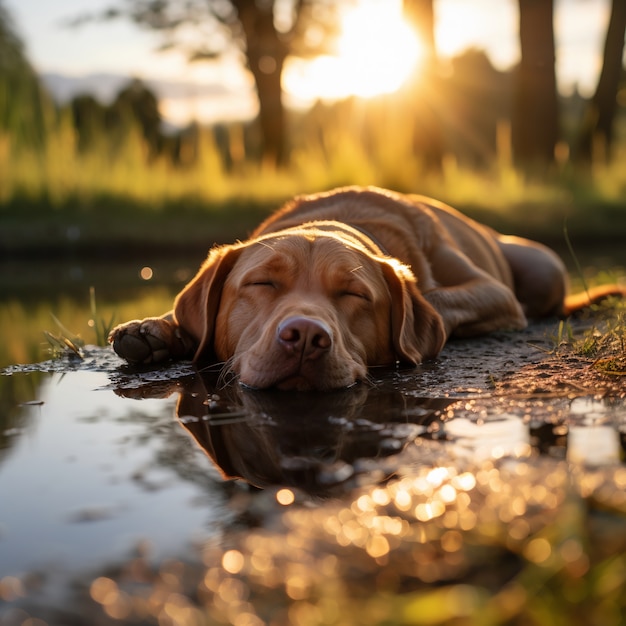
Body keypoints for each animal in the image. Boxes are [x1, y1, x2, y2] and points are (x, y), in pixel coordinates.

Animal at [109, 184, 620, 390]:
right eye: (261, 282)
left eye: (354, 295)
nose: (305, 337)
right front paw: (155, 330)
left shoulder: (494, 292)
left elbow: (434, 298)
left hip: (543, 264)